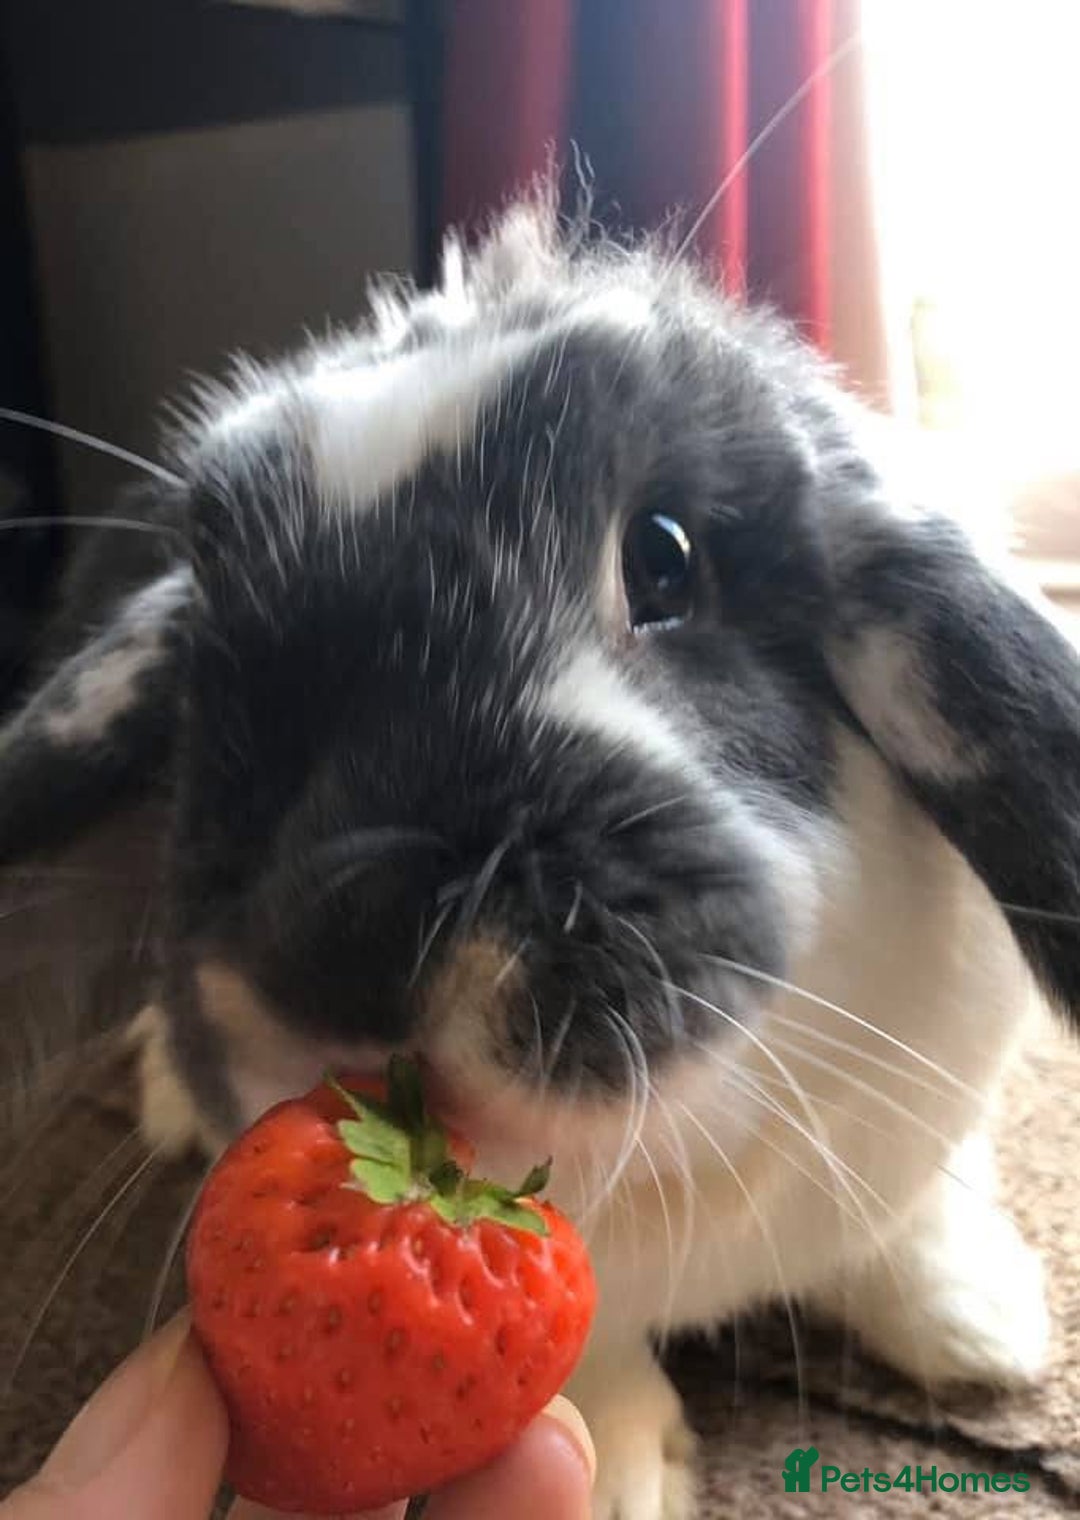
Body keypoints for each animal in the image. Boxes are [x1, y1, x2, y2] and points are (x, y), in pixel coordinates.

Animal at [3, 196, 1078, 1520]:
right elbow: (594, 1347)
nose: (346, 936)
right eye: (210, 652)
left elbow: (910, 1215)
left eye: (664, 555)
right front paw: (623, 1476)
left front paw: (983, 1327)